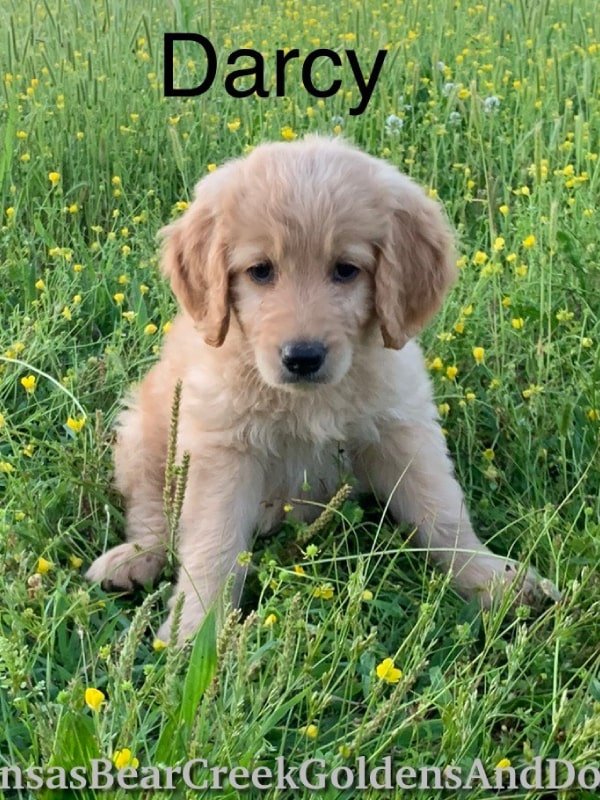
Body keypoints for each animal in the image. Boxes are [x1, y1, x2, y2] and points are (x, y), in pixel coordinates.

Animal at [88, 134, 544, 640]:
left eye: (346, 270)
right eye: (260, 270)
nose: (302, 357)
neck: (309, 400)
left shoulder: (402, 429)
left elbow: (440, 510)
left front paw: (493, 578)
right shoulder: (222, 450)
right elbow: (213, 543)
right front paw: (196, 630)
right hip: (143, 433)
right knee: (153, 510)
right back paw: (132, 561)